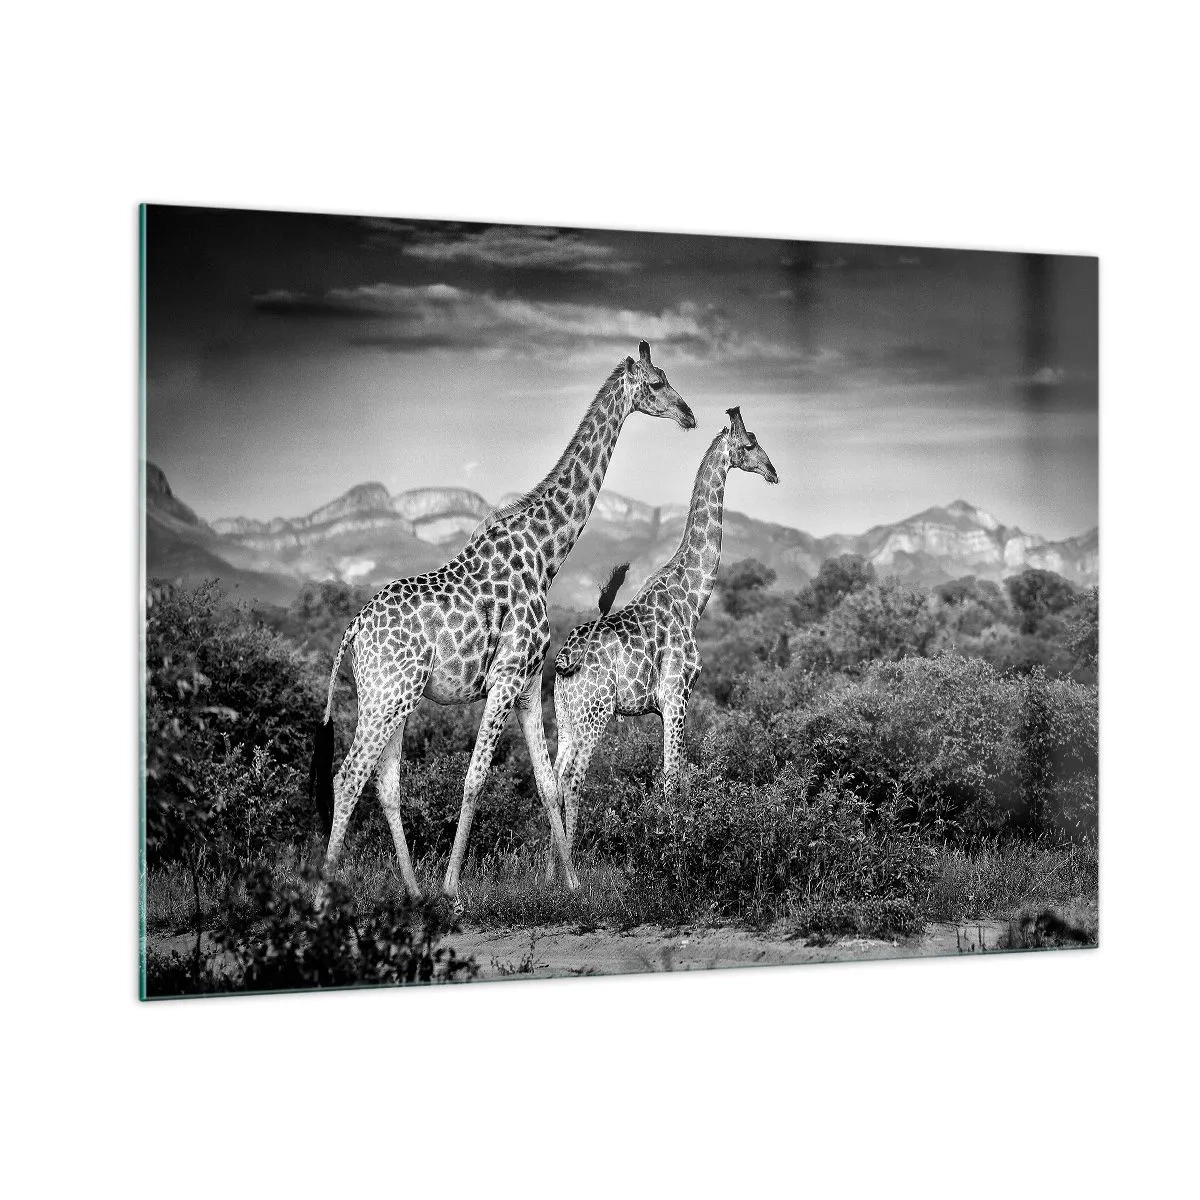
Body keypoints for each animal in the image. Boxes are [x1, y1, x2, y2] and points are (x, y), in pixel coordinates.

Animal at [310, 341, 695, 901]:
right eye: (656, 383)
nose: (689, 415)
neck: (544, 556)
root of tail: (353, 631)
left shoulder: (531, 683)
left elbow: (547, 781)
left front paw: (572, 883)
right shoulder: (505, 677)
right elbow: (475, 778)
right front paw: (453, 888)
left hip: (386, 696)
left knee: (384, 783)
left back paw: (412, 891)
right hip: (390, 694)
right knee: (348, 777)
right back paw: (326, 895)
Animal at [548, 407, 777, 870]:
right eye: (749, 444)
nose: (773, 471)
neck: (695, 599)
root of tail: (564, 660)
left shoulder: (661, 707)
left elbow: (672, 774)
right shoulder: (676, 696)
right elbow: (673, 776)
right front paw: (672, 851)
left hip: (565, 714)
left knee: (554, 776)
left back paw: (549, 871)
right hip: (596, 712)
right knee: (573, 778)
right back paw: (574, 869)